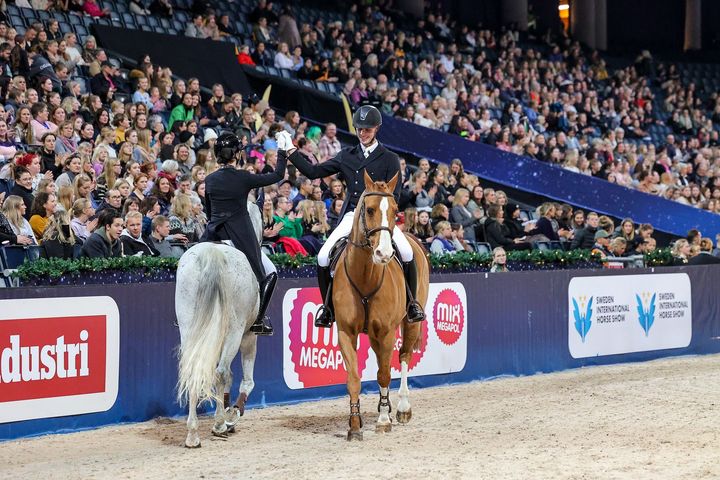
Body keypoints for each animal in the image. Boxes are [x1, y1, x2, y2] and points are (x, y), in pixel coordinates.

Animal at [175, 201, 263, 448]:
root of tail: (212, 253)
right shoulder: (249, 336)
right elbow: (246, 381)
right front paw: (232, 414)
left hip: (190, 328)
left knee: (193, 368)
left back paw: (193, 434)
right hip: (235, 331)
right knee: (222, 372)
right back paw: (220, 425)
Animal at [333, 171, 430, 441]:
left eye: (396, 210)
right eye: (369, 210)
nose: (384, 254)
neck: (366, 275)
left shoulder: (386, 332)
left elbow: (386, 374)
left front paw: (384, 420)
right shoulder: (346, 332)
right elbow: (354, 378)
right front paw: (355, 425)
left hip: (409, 323)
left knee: (404, 356)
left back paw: (401, 408)